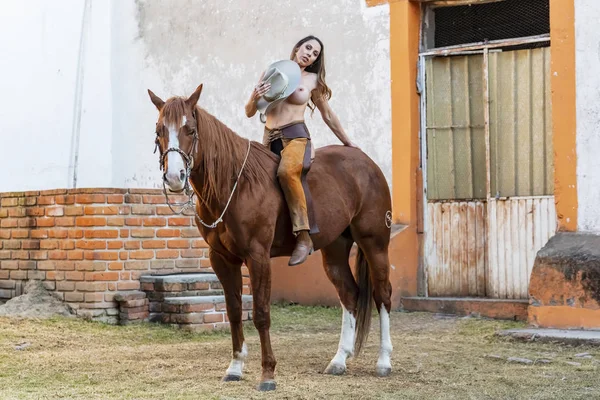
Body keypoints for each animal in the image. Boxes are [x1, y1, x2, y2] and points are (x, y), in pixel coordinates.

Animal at [148, 83, 394, 390]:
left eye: (190, 129)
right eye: (159, 129)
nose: (174, 177)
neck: (236, 184)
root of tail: (366, 162)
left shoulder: (258, 257)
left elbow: (261, 313)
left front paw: (268, 374)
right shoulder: (222, 259)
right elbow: (234, 311)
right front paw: (235, 367)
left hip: (375, 244)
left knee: (382, 295)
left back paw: (384, 361)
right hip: (335, 250)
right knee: (349, 294)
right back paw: (338, 361)